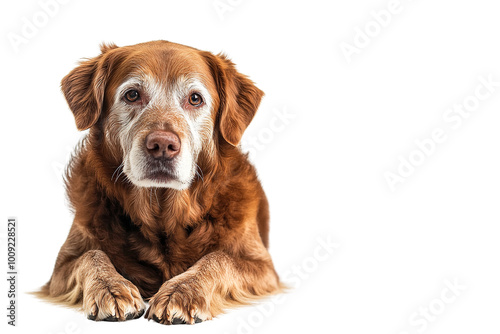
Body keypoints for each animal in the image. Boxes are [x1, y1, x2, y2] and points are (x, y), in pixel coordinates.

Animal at [37, 39, 284, 324]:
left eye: (195, 99)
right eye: (132, 94)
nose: (162, 145)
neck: (162, 215)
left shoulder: (263, 268)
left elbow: (219, 258)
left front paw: (182, 292)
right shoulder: (61, 268)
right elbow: (91, 255)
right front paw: (111, 288)